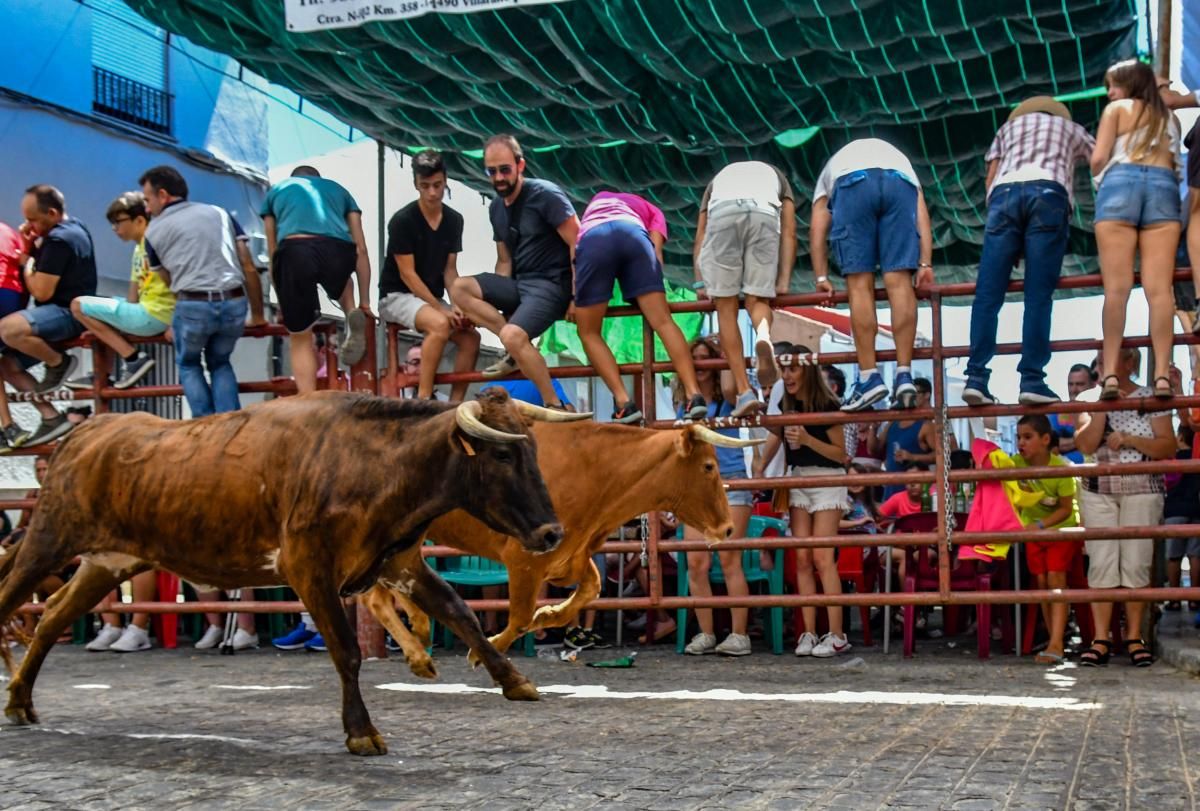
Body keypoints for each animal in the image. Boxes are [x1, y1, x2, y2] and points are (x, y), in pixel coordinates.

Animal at [0, 388, 571, 758]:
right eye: (502, 454)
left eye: (532, 448)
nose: (551, 533)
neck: (373, 464)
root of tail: (91, 430)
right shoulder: (309, 568)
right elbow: (346, 650)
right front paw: (360, 731)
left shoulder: (399, 563)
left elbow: (461, 614)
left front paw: (513, 680)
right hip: (49, 541)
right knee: (13, 601)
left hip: (105, 562)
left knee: (51, 618)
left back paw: (22, 702)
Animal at [362, 422, 758, 676]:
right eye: (708, 466)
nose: (727, 527)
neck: (596, 473)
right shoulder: (525, 558)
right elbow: (520, 617)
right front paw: (481, 651)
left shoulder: (573, 555)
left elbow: (589, 591)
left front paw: (549, 615)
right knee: (377, 595)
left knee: (378, 596)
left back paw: (419, 637)